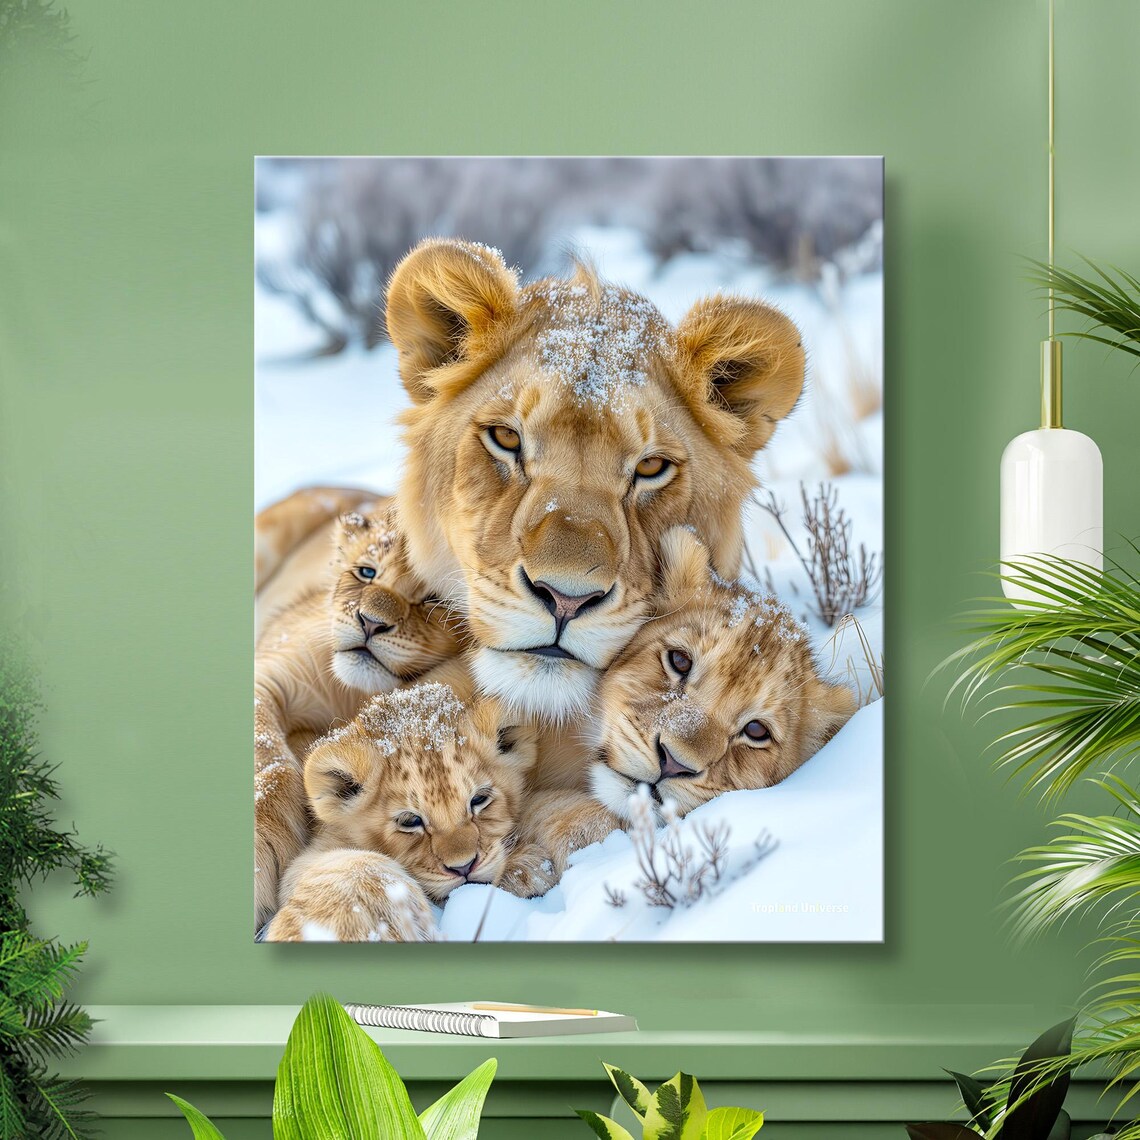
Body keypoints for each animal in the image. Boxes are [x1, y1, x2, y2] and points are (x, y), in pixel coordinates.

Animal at [254, 505, 464, 929]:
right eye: (367, 572)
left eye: (432, 599)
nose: (369, 621)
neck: (351, 693)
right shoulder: (268, 673)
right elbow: (270, 761)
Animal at [263, 681, 555, 941]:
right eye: (410, 821)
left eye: (479, 799)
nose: (464, 867)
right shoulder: (309, 856)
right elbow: (350, 868)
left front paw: (526, 866)